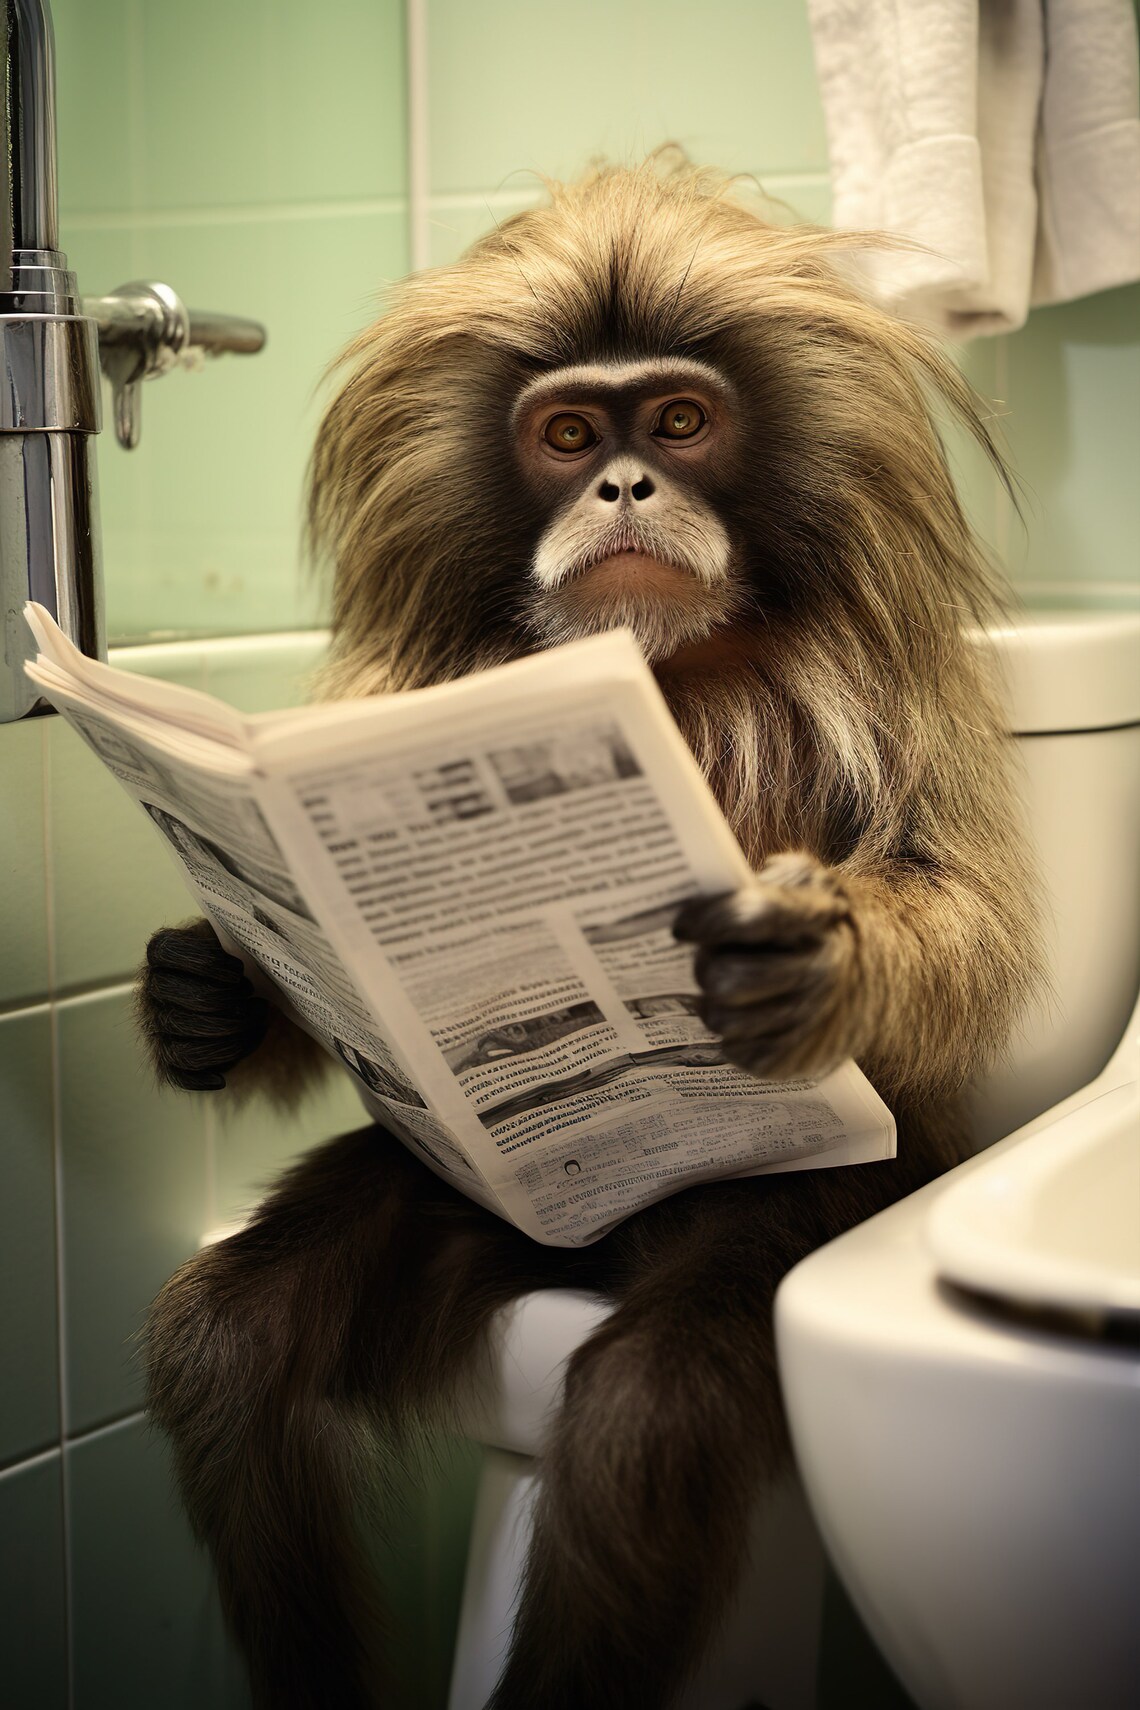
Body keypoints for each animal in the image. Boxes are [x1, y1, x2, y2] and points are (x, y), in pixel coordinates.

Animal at [139, 159, 1042, 1710]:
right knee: (223, 1343)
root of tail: (580, 1258)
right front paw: (210, 999)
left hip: (795, 1208)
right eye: (569, 435)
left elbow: (959, 905)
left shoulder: (895, 668)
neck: (667, 667)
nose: (624, 483)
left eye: (676, 422)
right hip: (476, 1201)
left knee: (643, 1410)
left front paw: (815, 966)